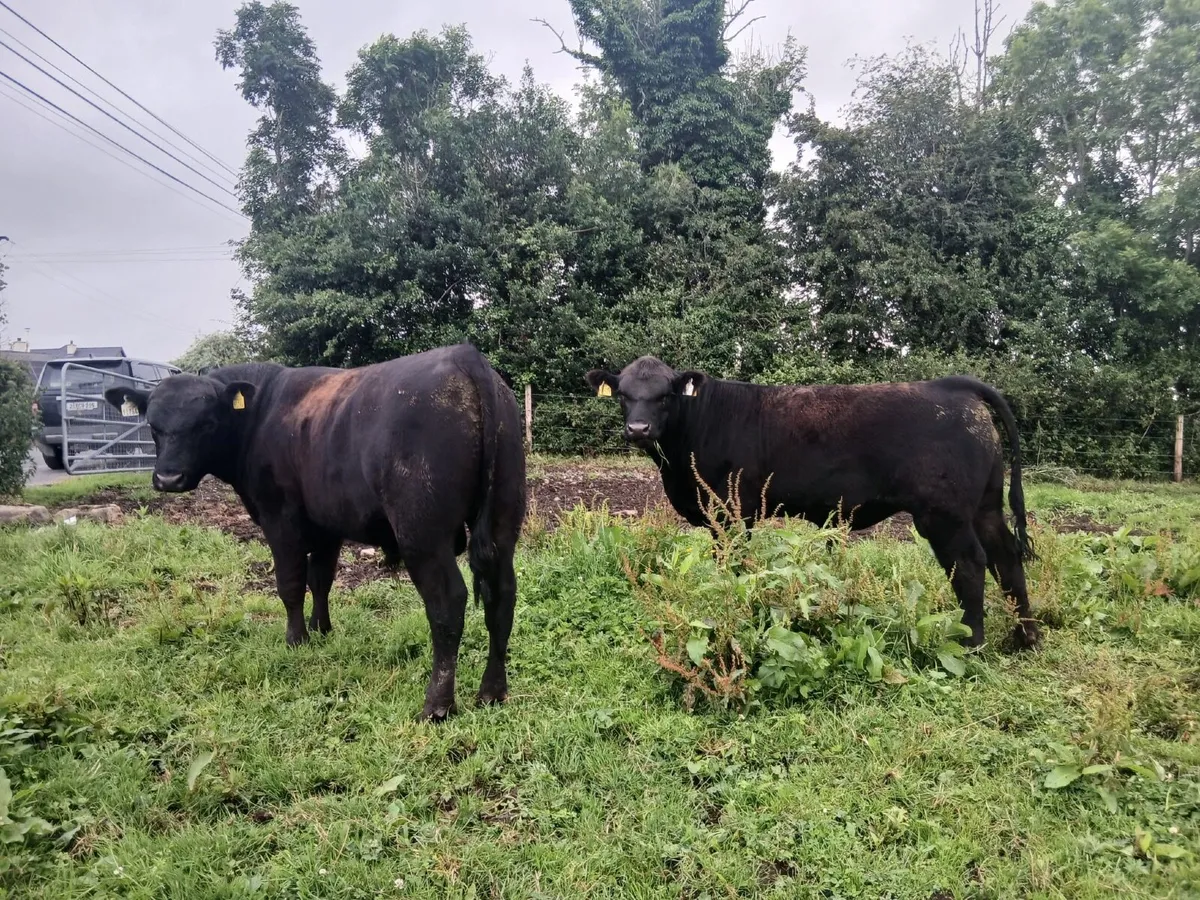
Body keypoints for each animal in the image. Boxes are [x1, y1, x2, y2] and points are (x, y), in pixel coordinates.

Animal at [105, 343, 526, 721]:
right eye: (153, 426)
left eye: (206, 424)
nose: (168, 478)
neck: (261, 413)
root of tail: (464, 357)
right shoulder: (327, 526)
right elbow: (320, 579)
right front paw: (321, 630)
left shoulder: (279, 519)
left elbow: (290, 584)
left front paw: (296, 640)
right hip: (503, 519)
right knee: (502, 596)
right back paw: (492, 691)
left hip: (422, 534)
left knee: (447, 603)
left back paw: (437, 705)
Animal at [586, 357, 1039, 651]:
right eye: (623, 395)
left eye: (665, 395)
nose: (638, 428)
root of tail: (951, 384)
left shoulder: (731, 514)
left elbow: (733, 567)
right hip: (985, 506)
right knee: (1007, 557)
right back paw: (1025, 637)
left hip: (944, 514)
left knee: (970, 564)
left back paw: (972, 645)